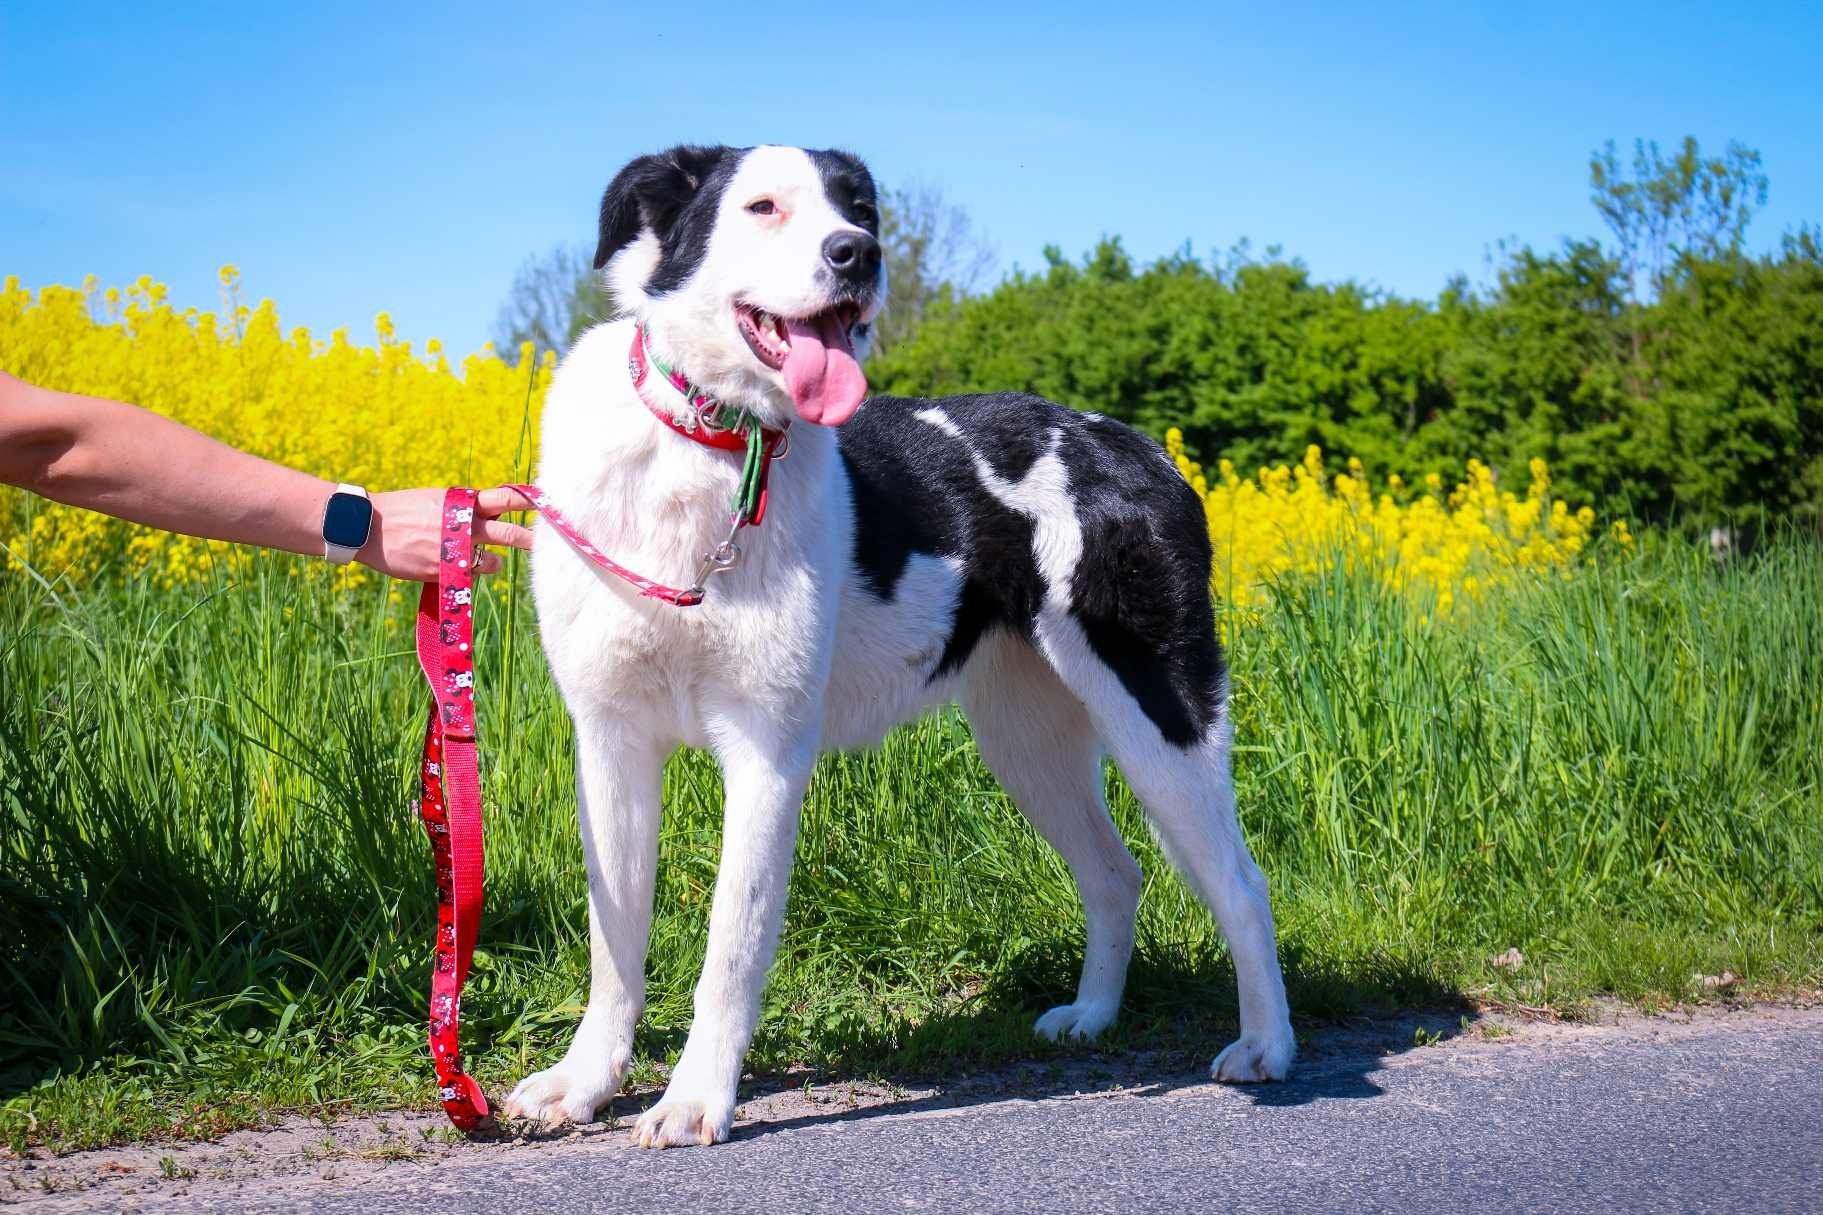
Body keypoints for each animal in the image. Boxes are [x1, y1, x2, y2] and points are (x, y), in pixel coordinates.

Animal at [503, 144, 1297, 1145]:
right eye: (763, 206)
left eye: (860, 209)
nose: (858, 254)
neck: (717, 446)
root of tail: (1143, 449)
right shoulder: (609, 744)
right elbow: (615, 943)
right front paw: (584, 1082)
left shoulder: (767, 751)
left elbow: (731, 945)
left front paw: (693, 1099)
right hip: (1026, 740)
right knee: (1117, 875)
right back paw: (1092, 1017)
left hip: (1159, 717)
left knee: (1241, 881)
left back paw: (1266, 1046)